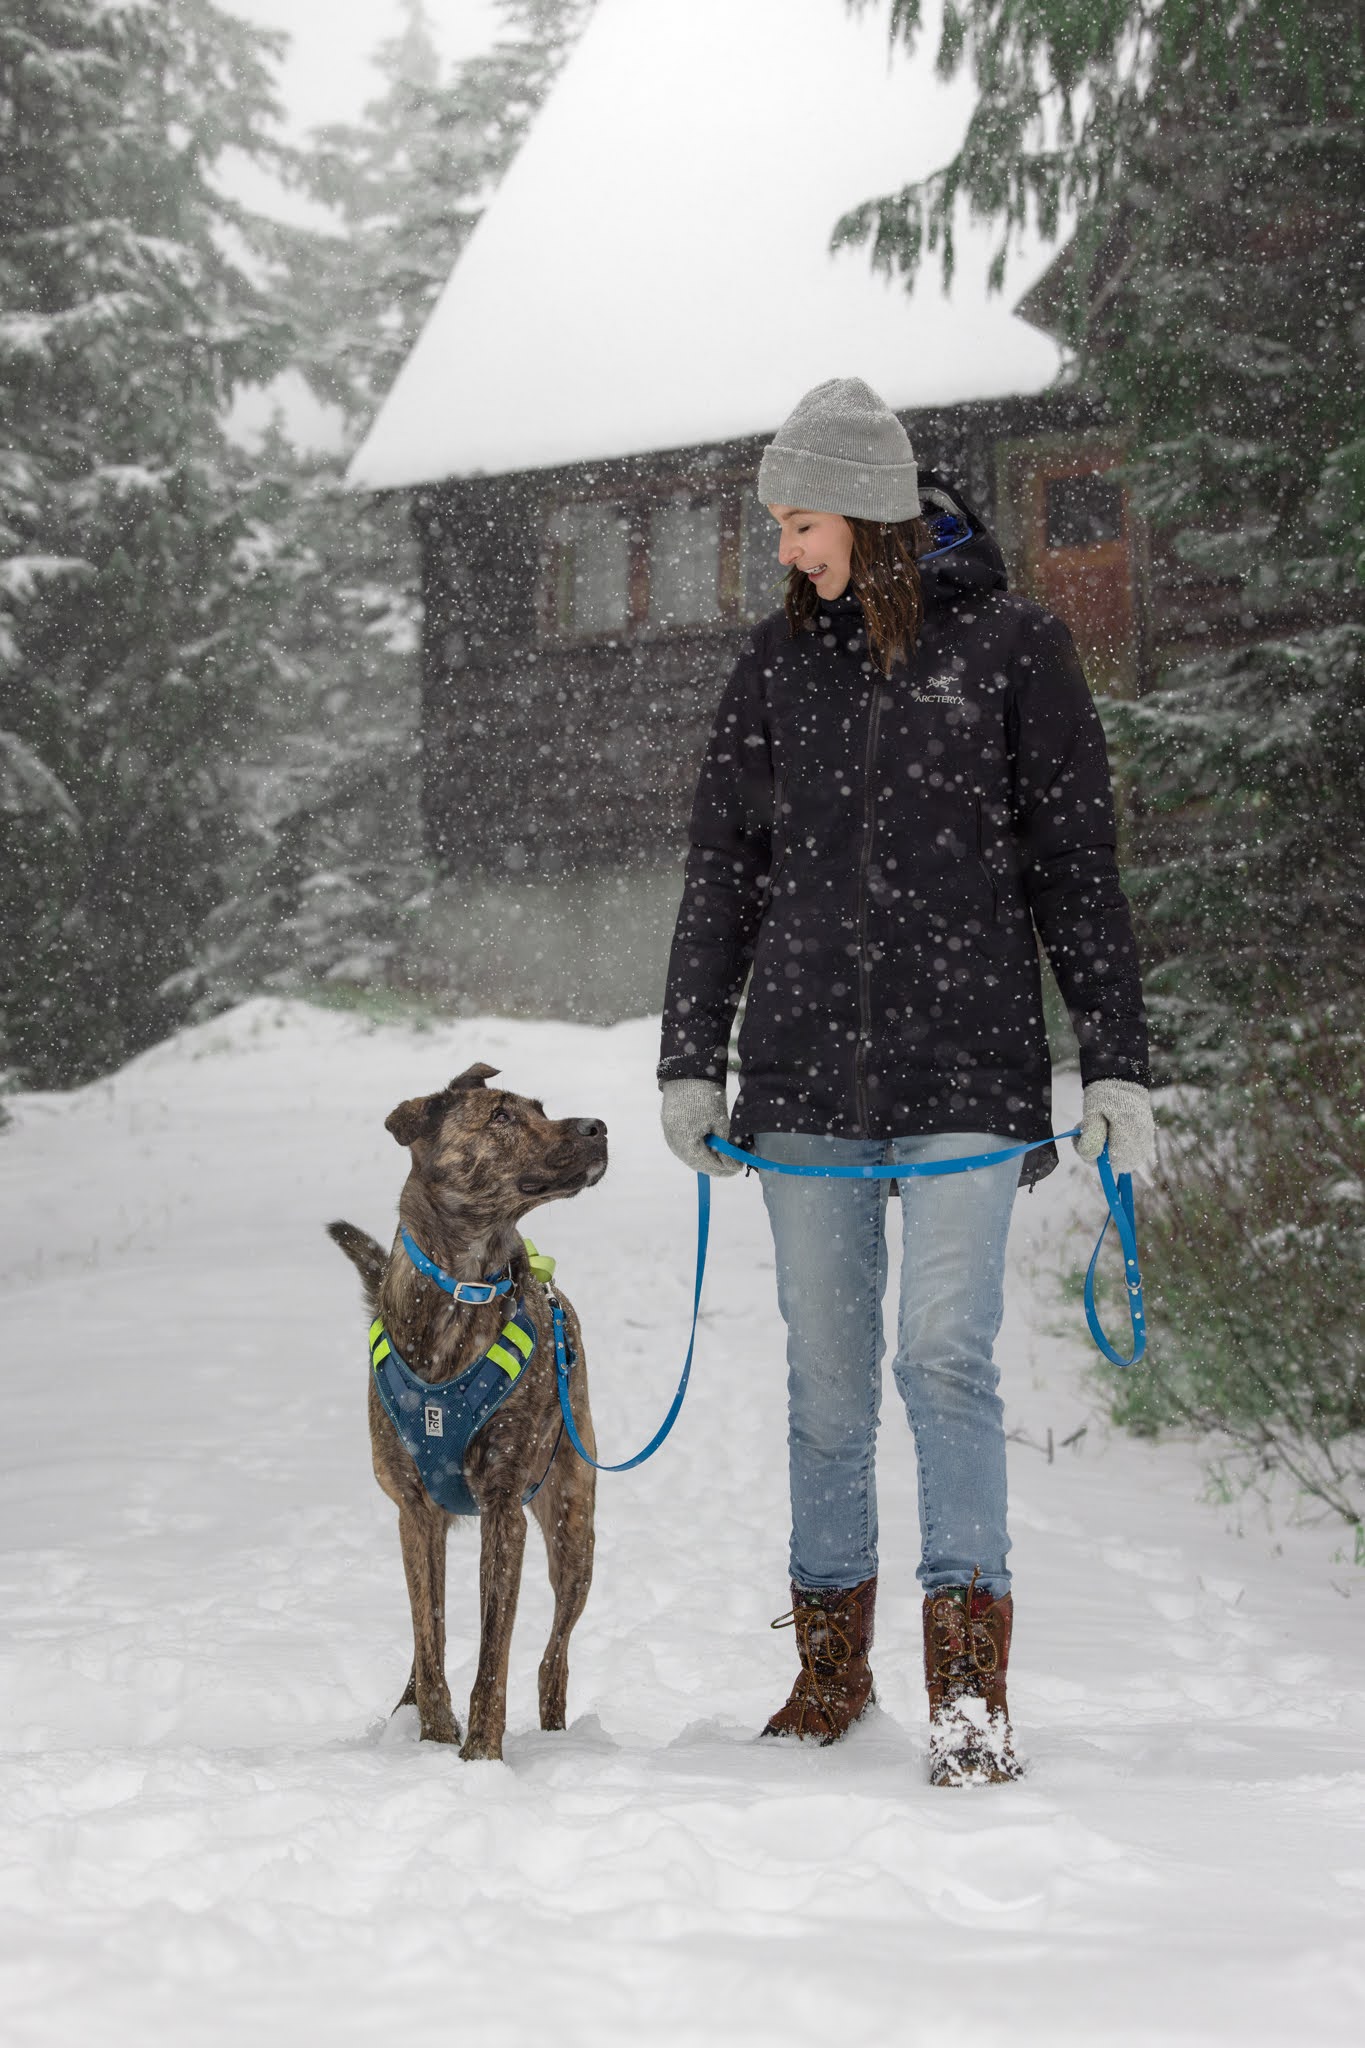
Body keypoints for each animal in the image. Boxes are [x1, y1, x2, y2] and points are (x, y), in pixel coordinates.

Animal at [327, 1064, 605, 1753]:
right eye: (501, 1116)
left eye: (541, 1108)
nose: (599, 1127)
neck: (464, 1286)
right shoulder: (414, 1510)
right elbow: (430, 1640)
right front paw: (432, 1734)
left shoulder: (503, 1507)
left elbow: (492, 1657)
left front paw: (480, 1754)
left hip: (573, 1524)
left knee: (553, 1657)